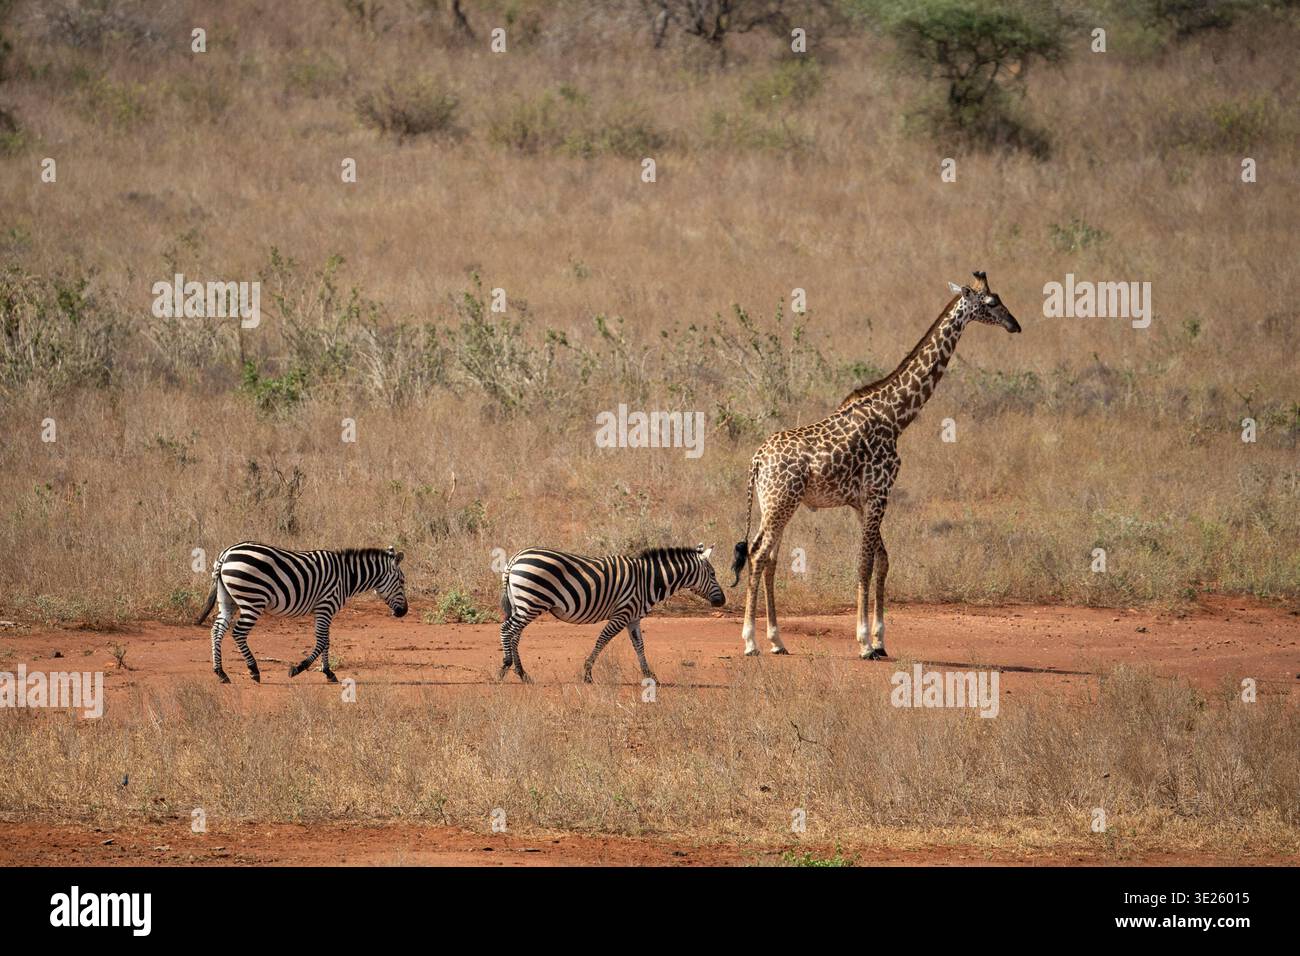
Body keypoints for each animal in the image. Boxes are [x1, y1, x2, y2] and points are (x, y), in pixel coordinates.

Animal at [730, 271, 1021, 659]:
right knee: (760, 554)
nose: (1015, 324)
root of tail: (757, 459)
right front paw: (865, 641)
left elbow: (882, 560)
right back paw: (750, 642)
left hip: (770, 504)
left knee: (767, 555)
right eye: (991, 303)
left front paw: (881, 640)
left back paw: (777, 640)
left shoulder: (861, 501)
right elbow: (865, 563)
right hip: (781, 502)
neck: (896, 416)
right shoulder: (879, 493)